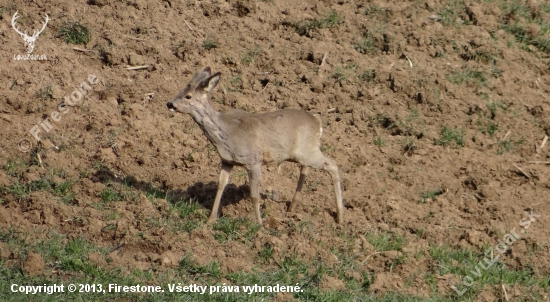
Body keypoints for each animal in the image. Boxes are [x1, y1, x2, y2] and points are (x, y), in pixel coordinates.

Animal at [168, 68, 342, 224]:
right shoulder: (227, 161)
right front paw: (211, 220)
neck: (226, 134)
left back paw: (340, 216)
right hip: (303, 153)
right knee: (307, 168)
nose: (169, 103)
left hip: (307, 151)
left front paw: (260, 225)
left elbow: (254, 195)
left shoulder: (254, 161)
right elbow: (220, 185)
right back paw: (292, 208)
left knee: (332, 164)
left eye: (188, 96)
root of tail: (318, 122)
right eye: (182, 89)